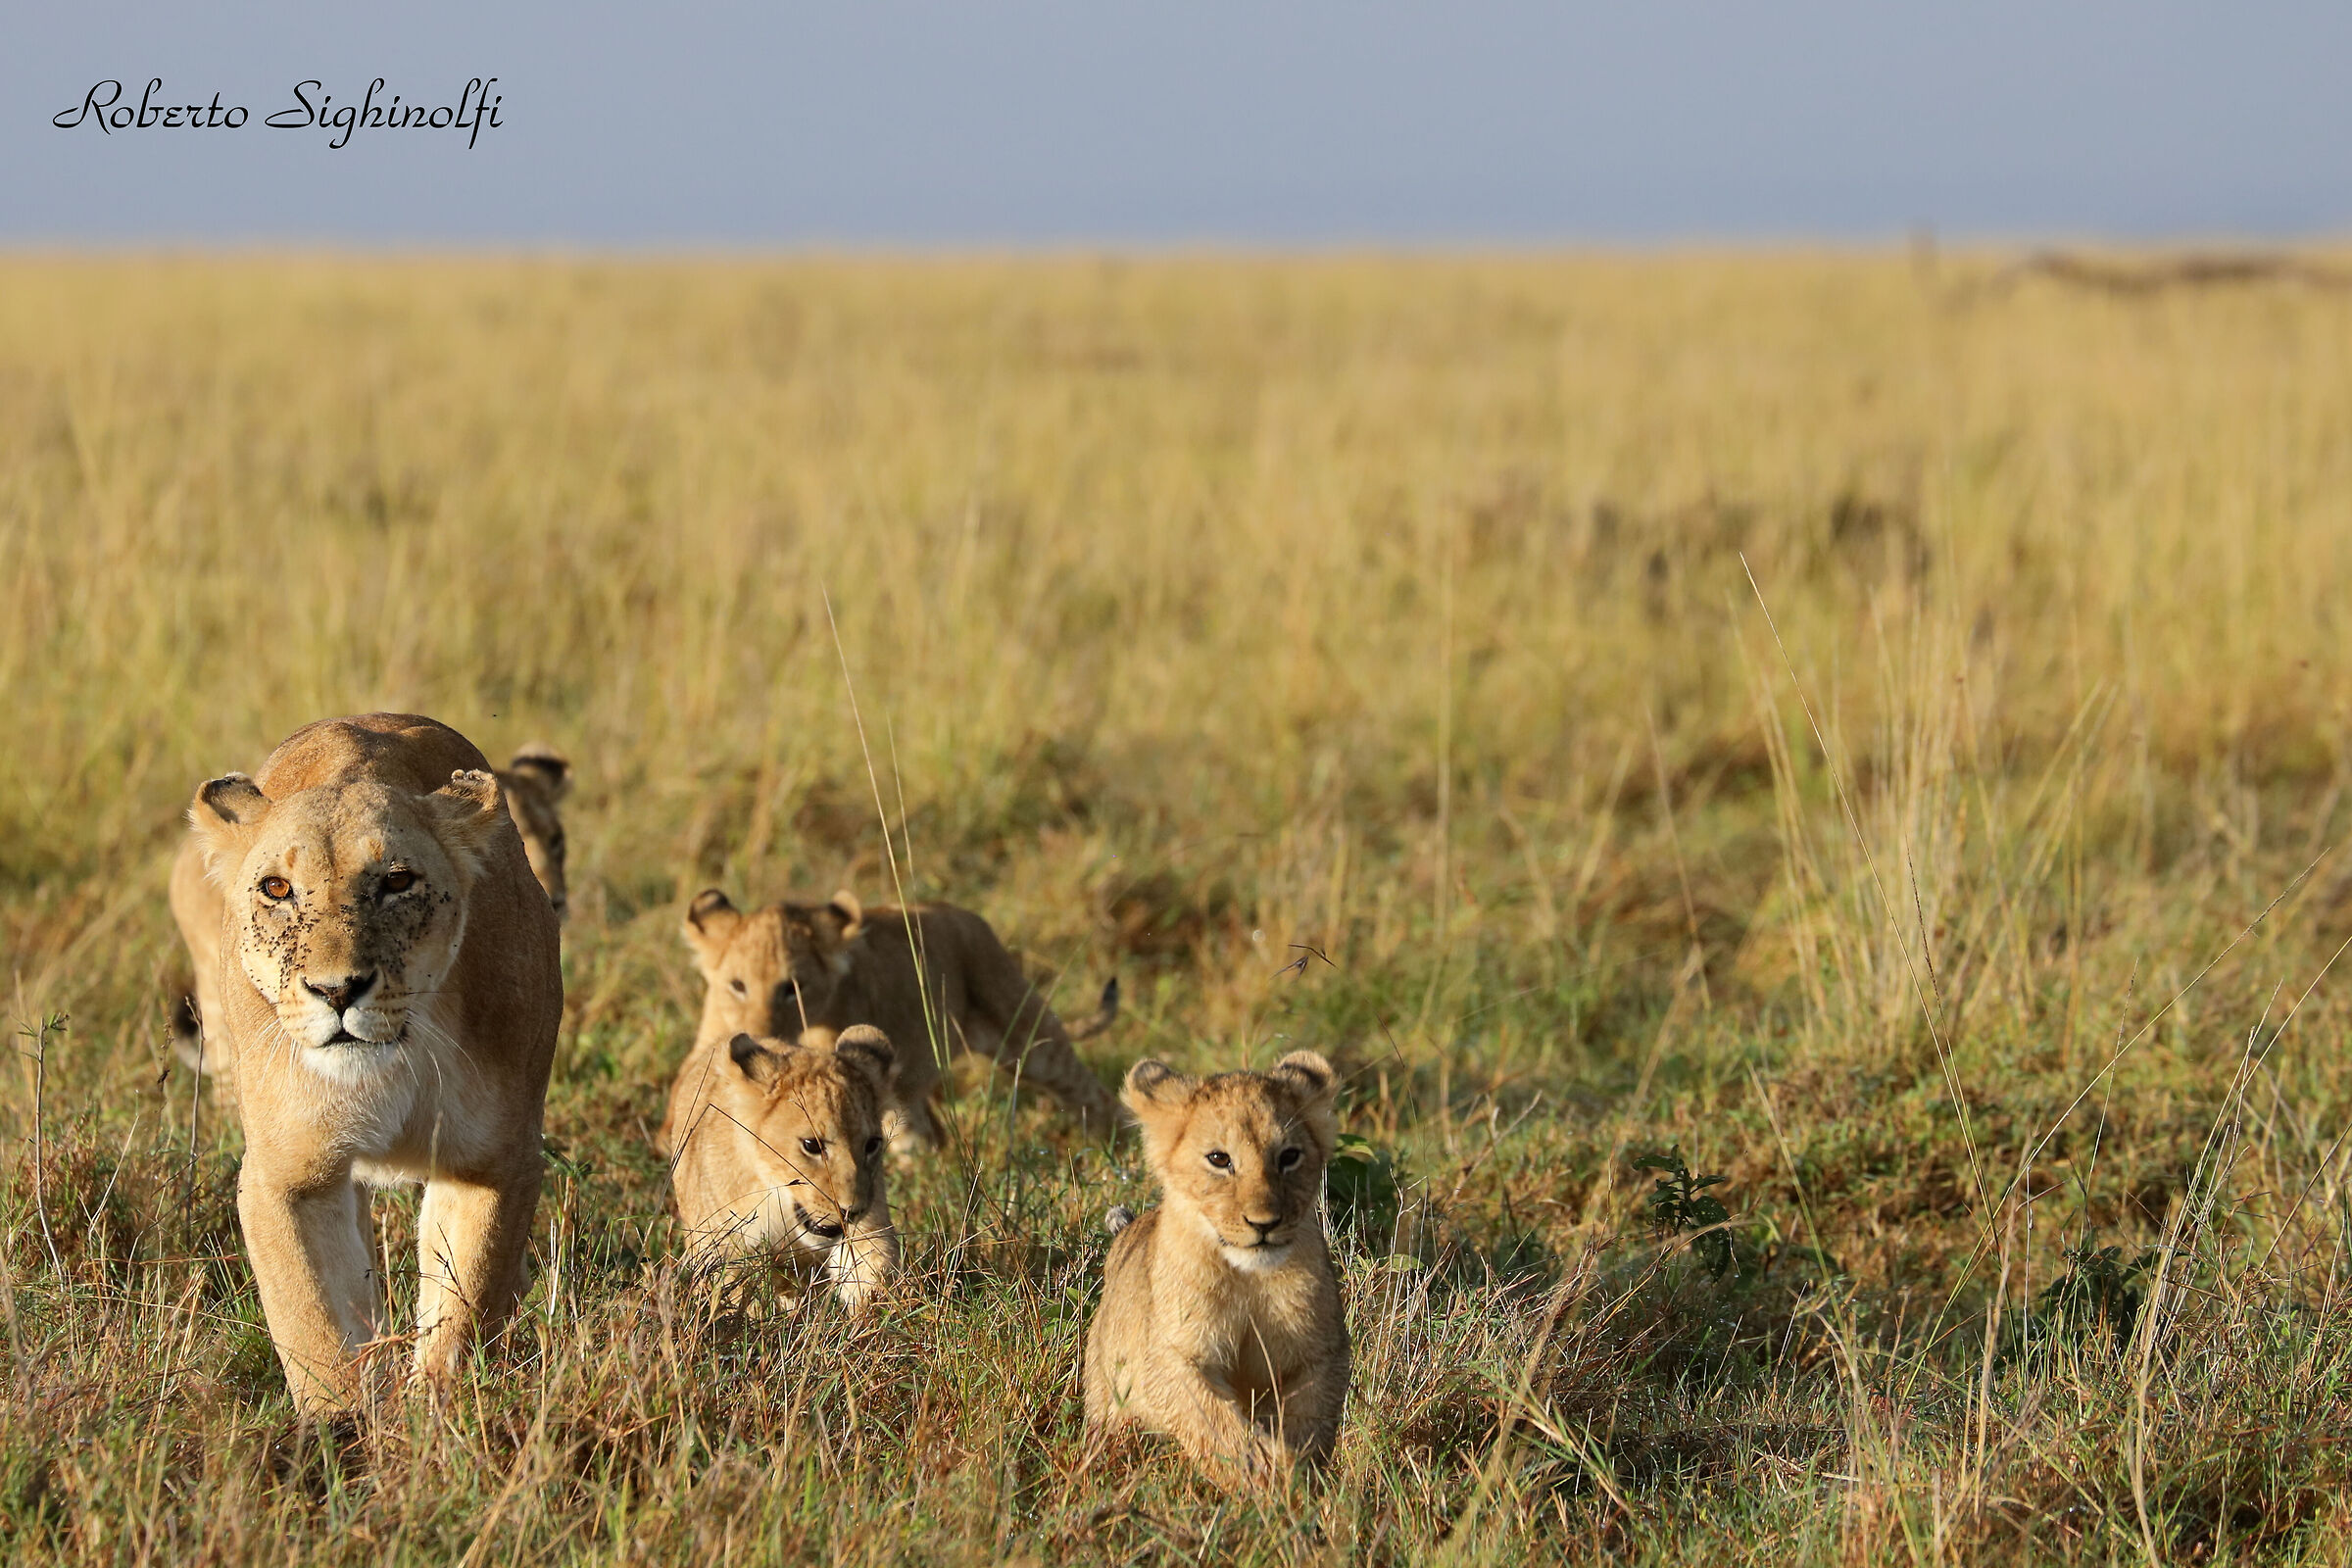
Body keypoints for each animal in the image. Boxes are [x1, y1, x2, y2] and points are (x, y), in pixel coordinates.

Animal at [664, 1024, 900, 1314]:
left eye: (872, 1144)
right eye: (811, 1145)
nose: (851, 1211)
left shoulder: (869, 1222)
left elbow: (871, 1269)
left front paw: (874, 1318)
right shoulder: (722, 1243)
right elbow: (738, 1294)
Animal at [668, 888, 1120, 1156]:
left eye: (792, 988)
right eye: (737, 985)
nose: (759, 1032)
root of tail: (965, 915)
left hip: (1023, 1028)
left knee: (1090, 1091)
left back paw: (1113, 1151)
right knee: (925, 1134)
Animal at [1082, 1051, 1350, 1491]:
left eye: (1289, 1156)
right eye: (1219, 1159)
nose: (1264, 1224)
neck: (1247, 1276)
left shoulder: (1322, 1351)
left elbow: (1308, 1418)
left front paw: (1295, 1481)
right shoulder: (1171, 1357)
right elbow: (1214, 1424)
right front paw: (1264, 1478)